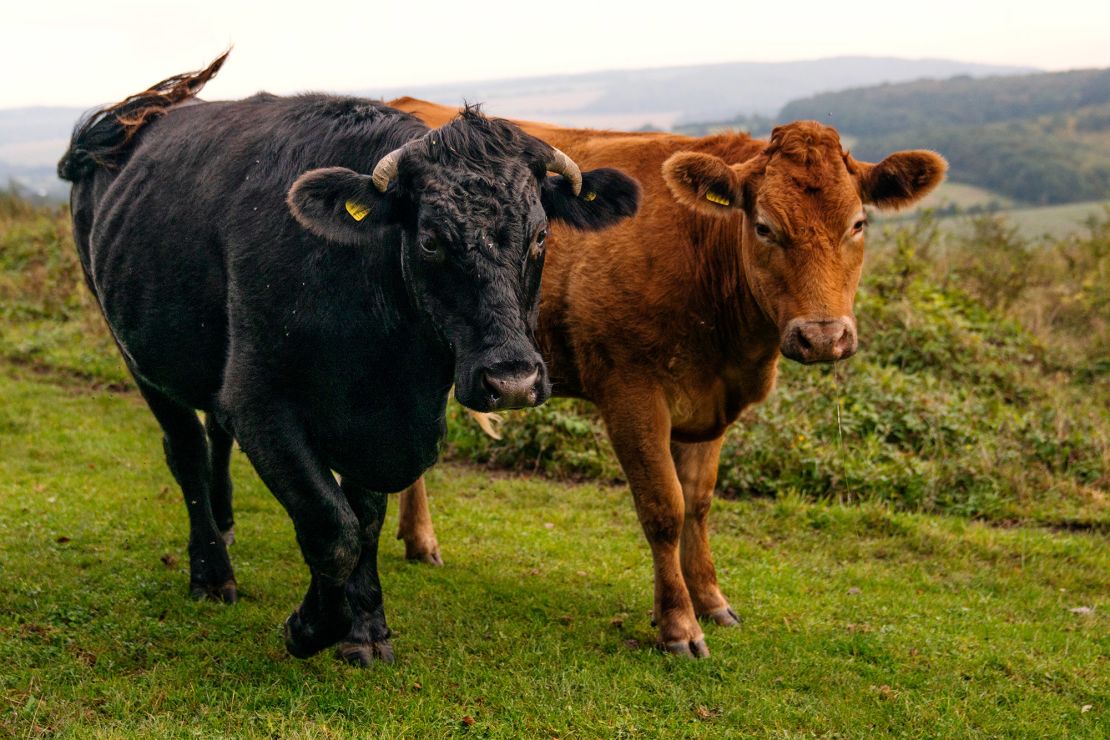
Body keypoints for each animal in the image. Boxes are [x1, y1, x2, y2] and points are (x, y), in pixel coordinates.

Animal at [58, 53, 643, 665]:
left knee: (213, 434)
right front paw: (310, 626)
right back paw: (212, 571)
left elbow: (364, 520)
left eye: (540, 236)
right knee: (187, 449)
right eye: (431, 239)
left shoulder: (377, 427)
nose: (511, 380)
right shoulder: (260, 404)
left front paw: (365, 628)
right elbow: (331, 526)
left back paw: (225, 521)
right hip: (136, 351)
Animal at [390, 95, 945, 656]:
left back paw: (419, 540)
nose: (824, 336)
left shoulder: (710, 402)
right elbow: (664, 507)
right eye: (764, 227)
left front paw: (711, 599)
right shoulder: (630, 391)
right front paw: (679, 623)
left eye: (858, 224)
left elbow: (697, 502)